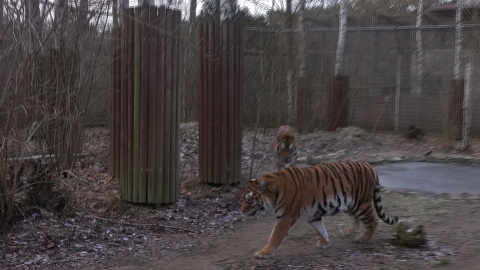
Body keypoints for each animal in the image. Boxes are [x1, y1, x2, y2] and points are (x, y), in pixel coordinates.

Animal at [242, 161, 400, 258]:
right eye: (243, 199)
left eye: (249, 200)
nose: (242, 211)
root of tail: (369, 165)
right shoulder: (313, 215)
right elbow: (321, 229)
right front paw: (325, 243)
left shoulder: (285, 217)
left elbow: (274, 236)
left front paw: (264, 252)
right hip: (350, 204)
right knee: (356, 218)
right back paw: (348, 232)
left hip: (361, 204)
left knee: (373, 221)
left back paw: (363, 238)